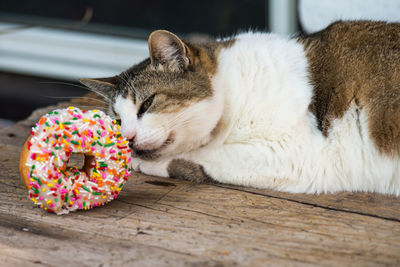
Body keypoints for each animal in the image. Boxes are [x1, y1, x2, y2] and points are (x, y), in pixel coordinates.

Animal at [81, 21, 400, 196]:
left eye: (147, 104)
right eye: (118, 120)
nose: (129, 139)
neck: (233, 94)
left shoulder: (297, 154)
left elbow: (198, 158)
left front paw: (144, 164)